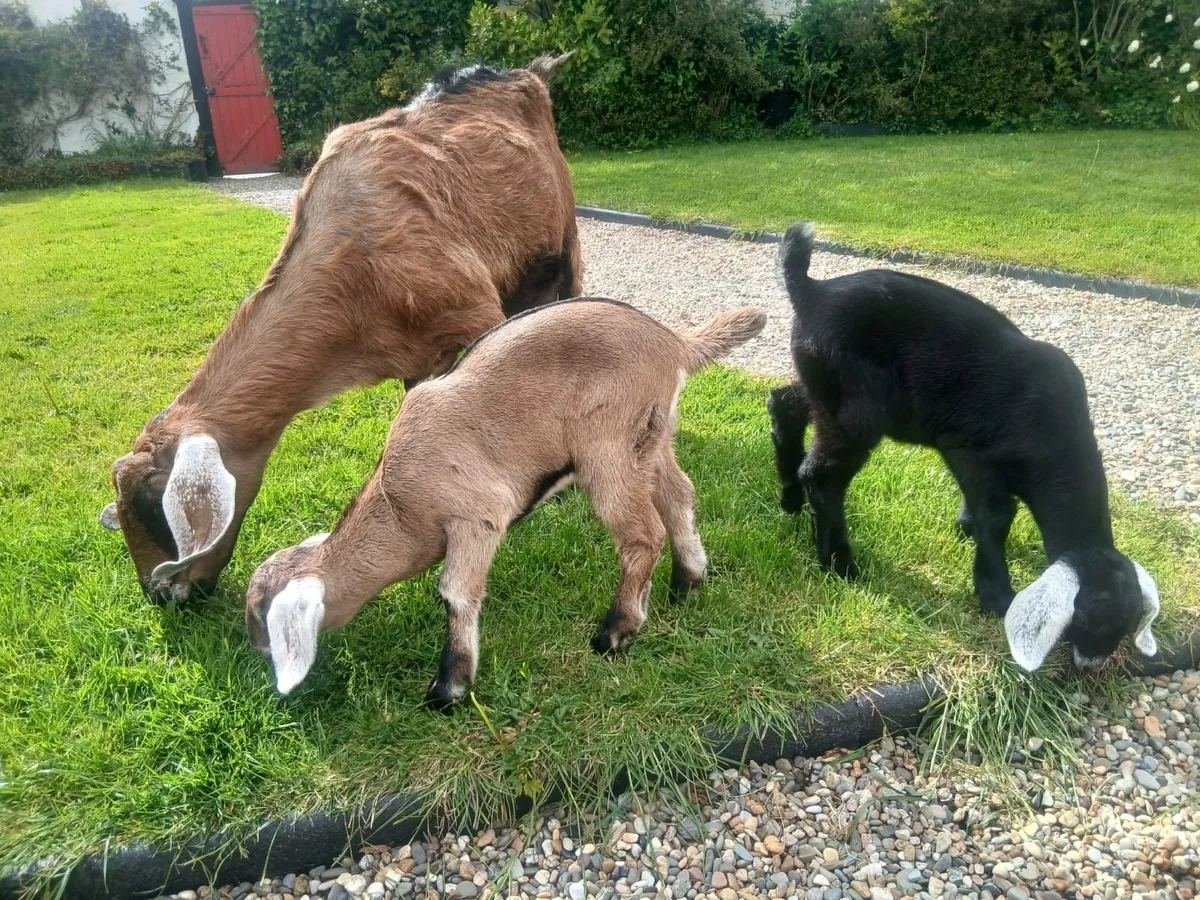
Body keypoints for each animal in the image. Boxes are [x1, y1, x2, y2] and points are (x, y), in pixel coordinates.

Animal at [100, 56, 582, 604]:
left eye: (158, 510)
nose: (162, 595)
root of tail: (527, 72)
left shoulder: (479, 317)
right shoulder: (418, 359)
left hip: (564, 240)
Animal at [244, 298, 767, 706]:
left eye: (262, 620)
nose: (255, 654)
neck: (401, 505)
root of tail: (673, 344)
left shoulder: (476, 517)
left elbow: (455, 592)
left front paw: (448, 689)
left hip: (609, 445)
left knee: (642, 535)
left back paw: (616, 632)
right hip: (653, 439)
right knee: (680, 496)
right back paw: (689, 580)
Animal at [767, 222, 1159, 673]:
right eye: (1093, 620)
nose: (1091, 667)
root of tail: (812, 291)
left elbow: (984, 510)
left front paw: (965, 530)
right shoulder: (970, 451)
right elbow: (998, 514)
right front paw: (996, 595)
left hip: (823, 386)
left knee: (785, 405)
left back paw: (790, 499)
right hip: (856, 403)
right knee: (824, 475)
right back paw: (839, 563)